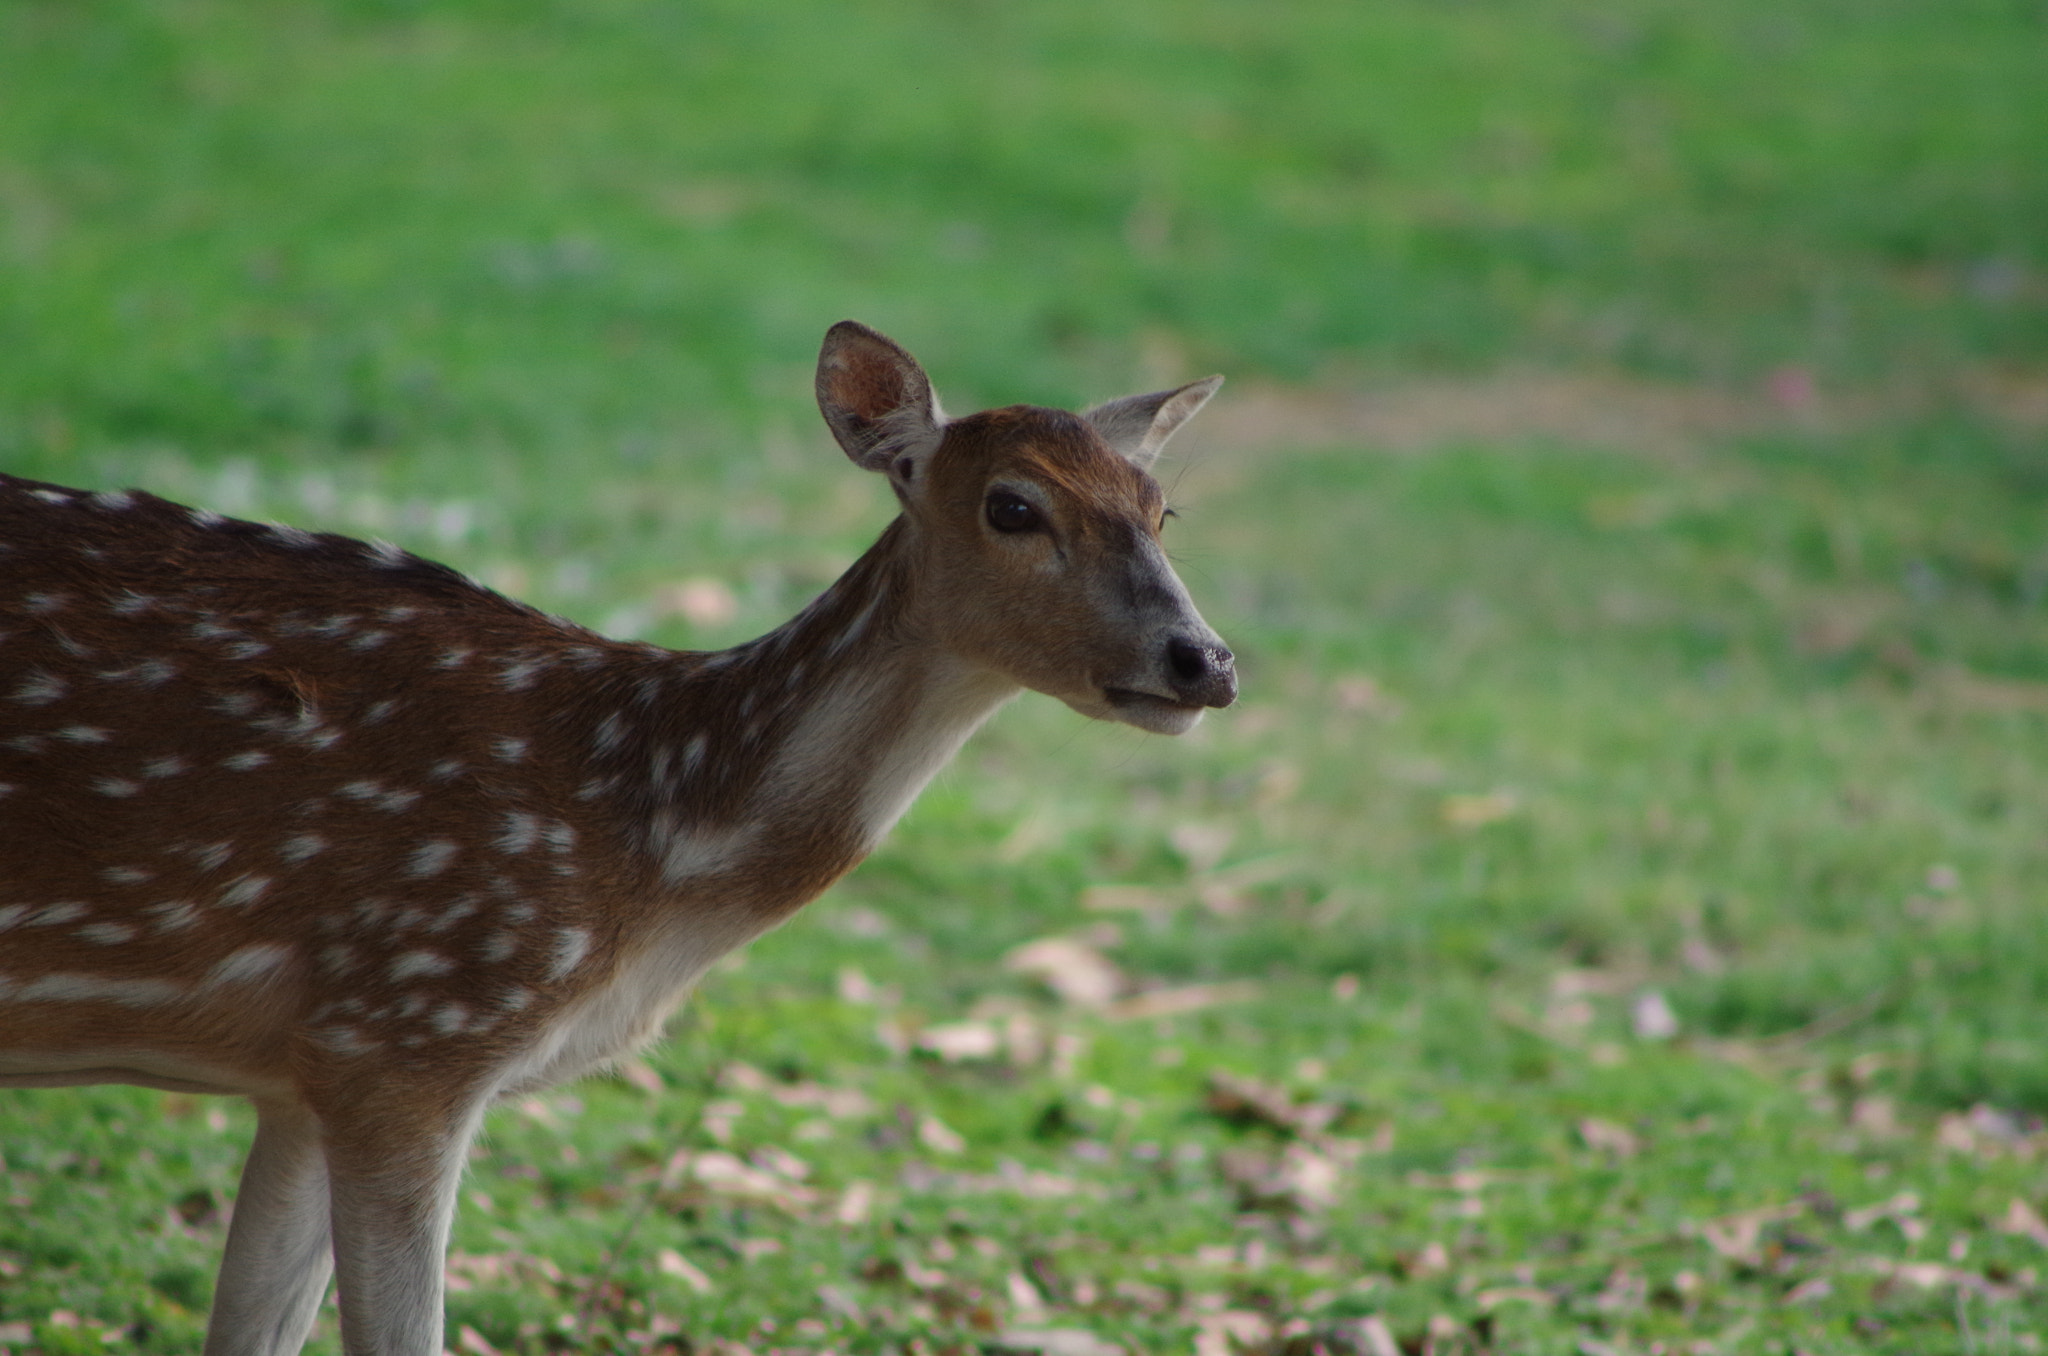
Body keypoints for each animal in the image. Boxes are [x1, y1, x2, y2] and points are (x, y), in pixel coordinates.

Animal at [0, 327, 1228, 1356]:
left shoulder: (308, 1074)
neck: (649, 840)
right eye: (1012, 507)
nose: (1204, 661)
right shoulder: (407, 1030)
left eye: (1162, 510)